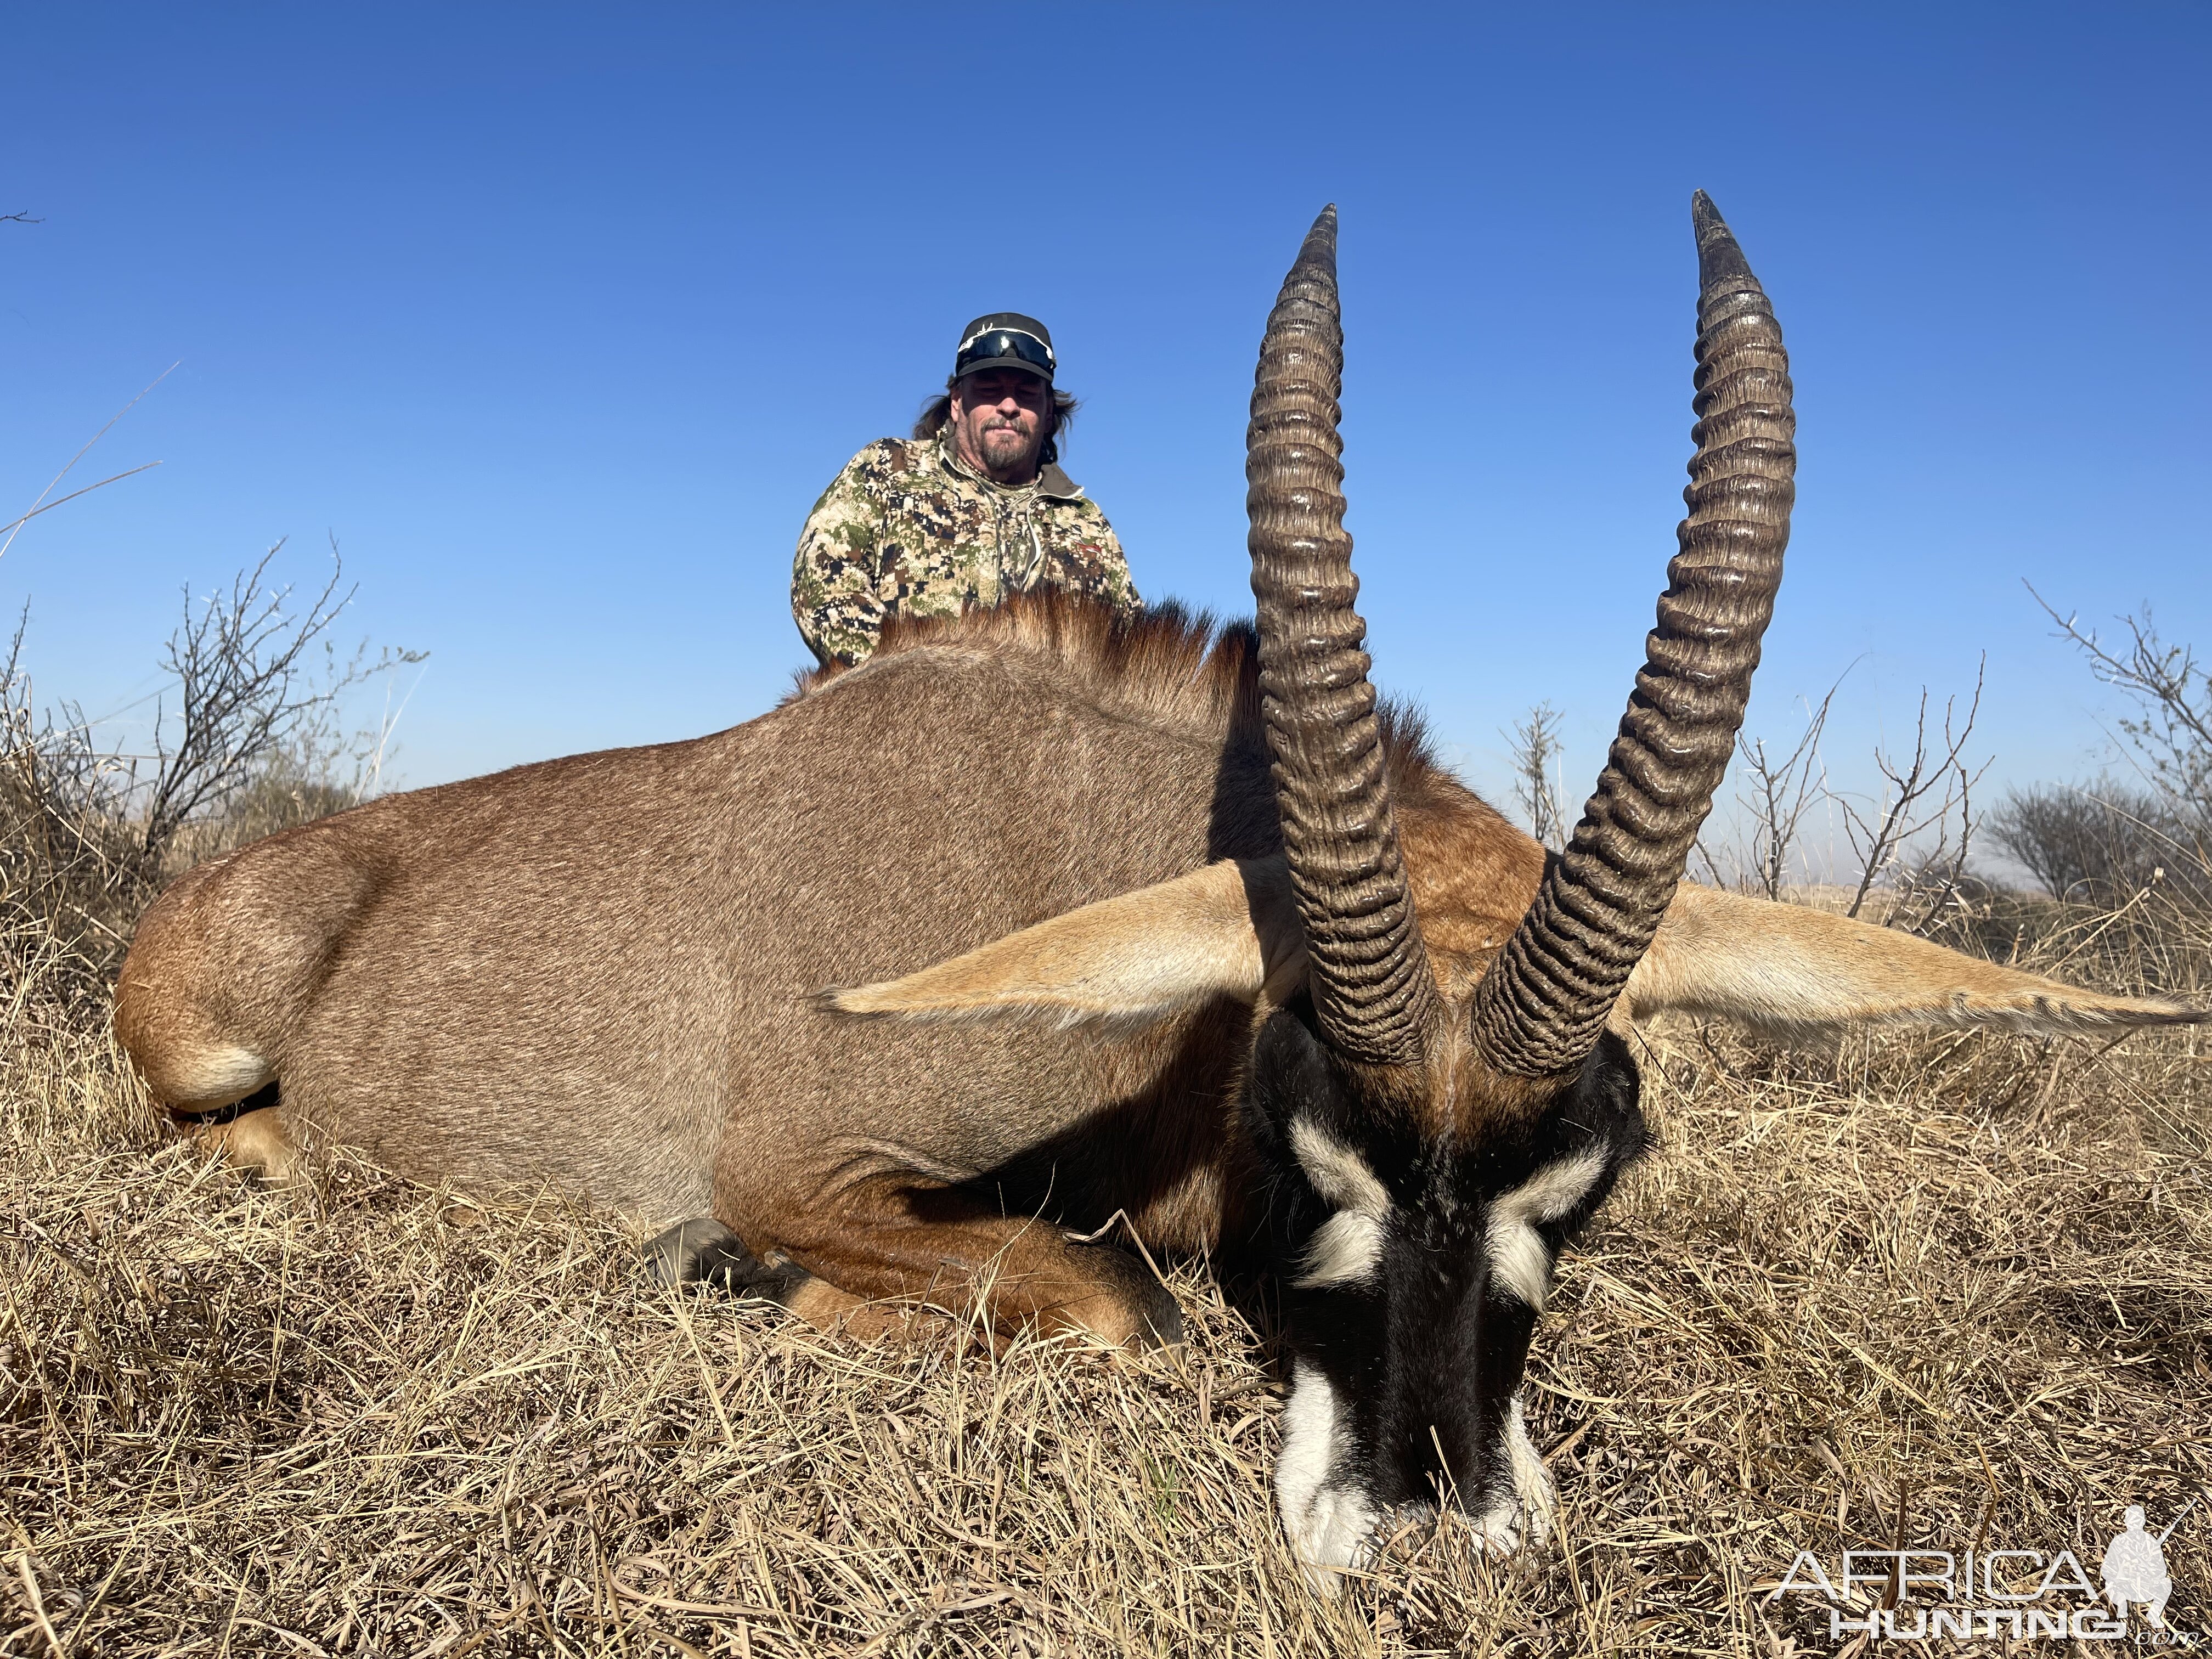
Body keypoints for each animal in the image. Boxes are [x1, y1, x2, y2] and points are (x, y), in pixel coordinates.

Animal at [116, 194, 2194, 1575]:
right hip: (205, 1056)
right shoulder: (791, 1165)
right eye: (1310, 1137)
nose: (1419, 1505)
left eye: (1590, 1175)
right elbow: (1115, 1302)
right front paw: (778, 1296)